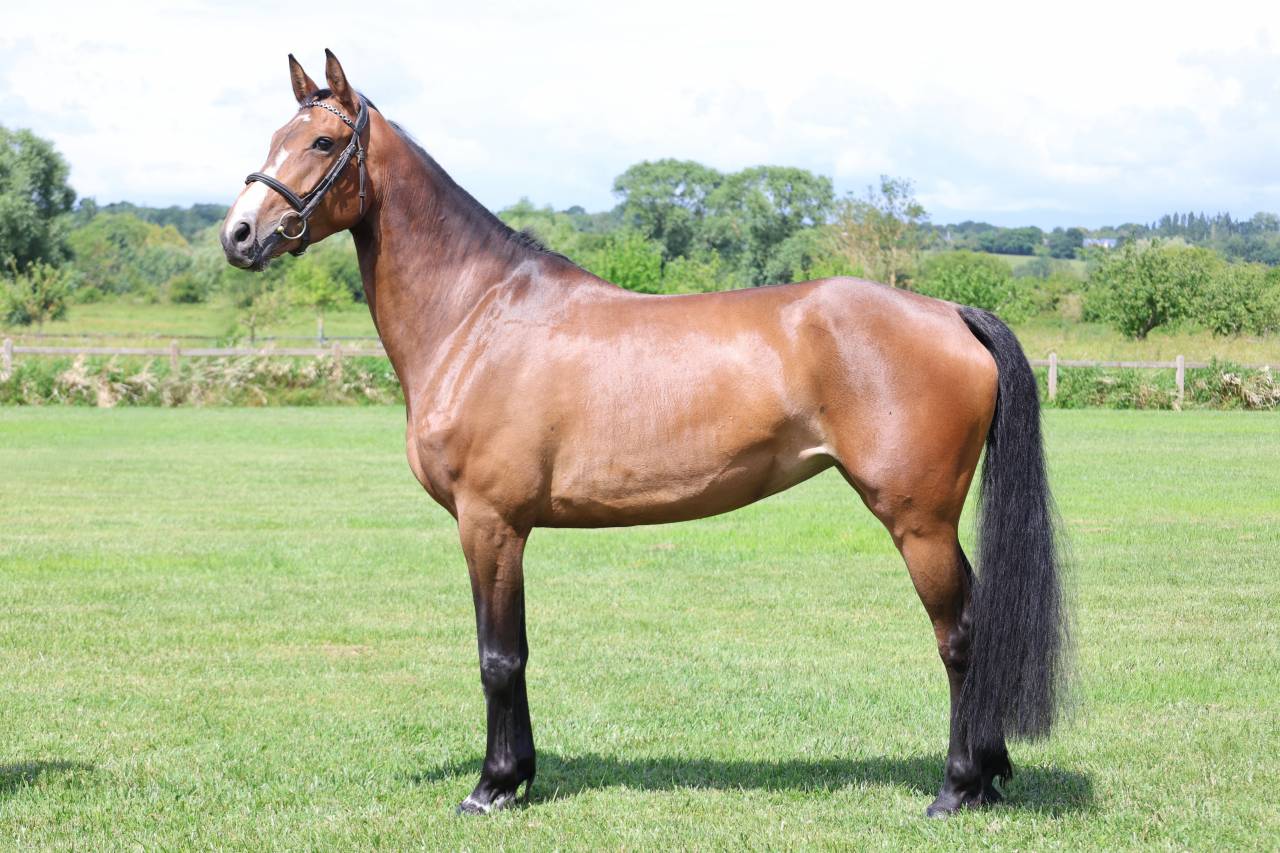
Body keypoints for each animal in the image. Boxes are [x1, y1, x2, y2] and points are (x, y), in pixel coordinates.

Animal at [221, 50, 1067, 817]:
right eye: (275, 135)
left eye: (322, 141)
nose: (239, 234)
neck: (477, 314)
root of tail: (949, 312)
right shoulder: (506, 528)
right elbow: (515, 652)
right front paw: (520, 774)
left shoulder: (490, 523)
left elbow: (499, 656)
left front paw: (492, 786)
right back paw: (991, 772)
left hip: (918, 520)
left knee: (961, 637)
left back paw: (958, 787)